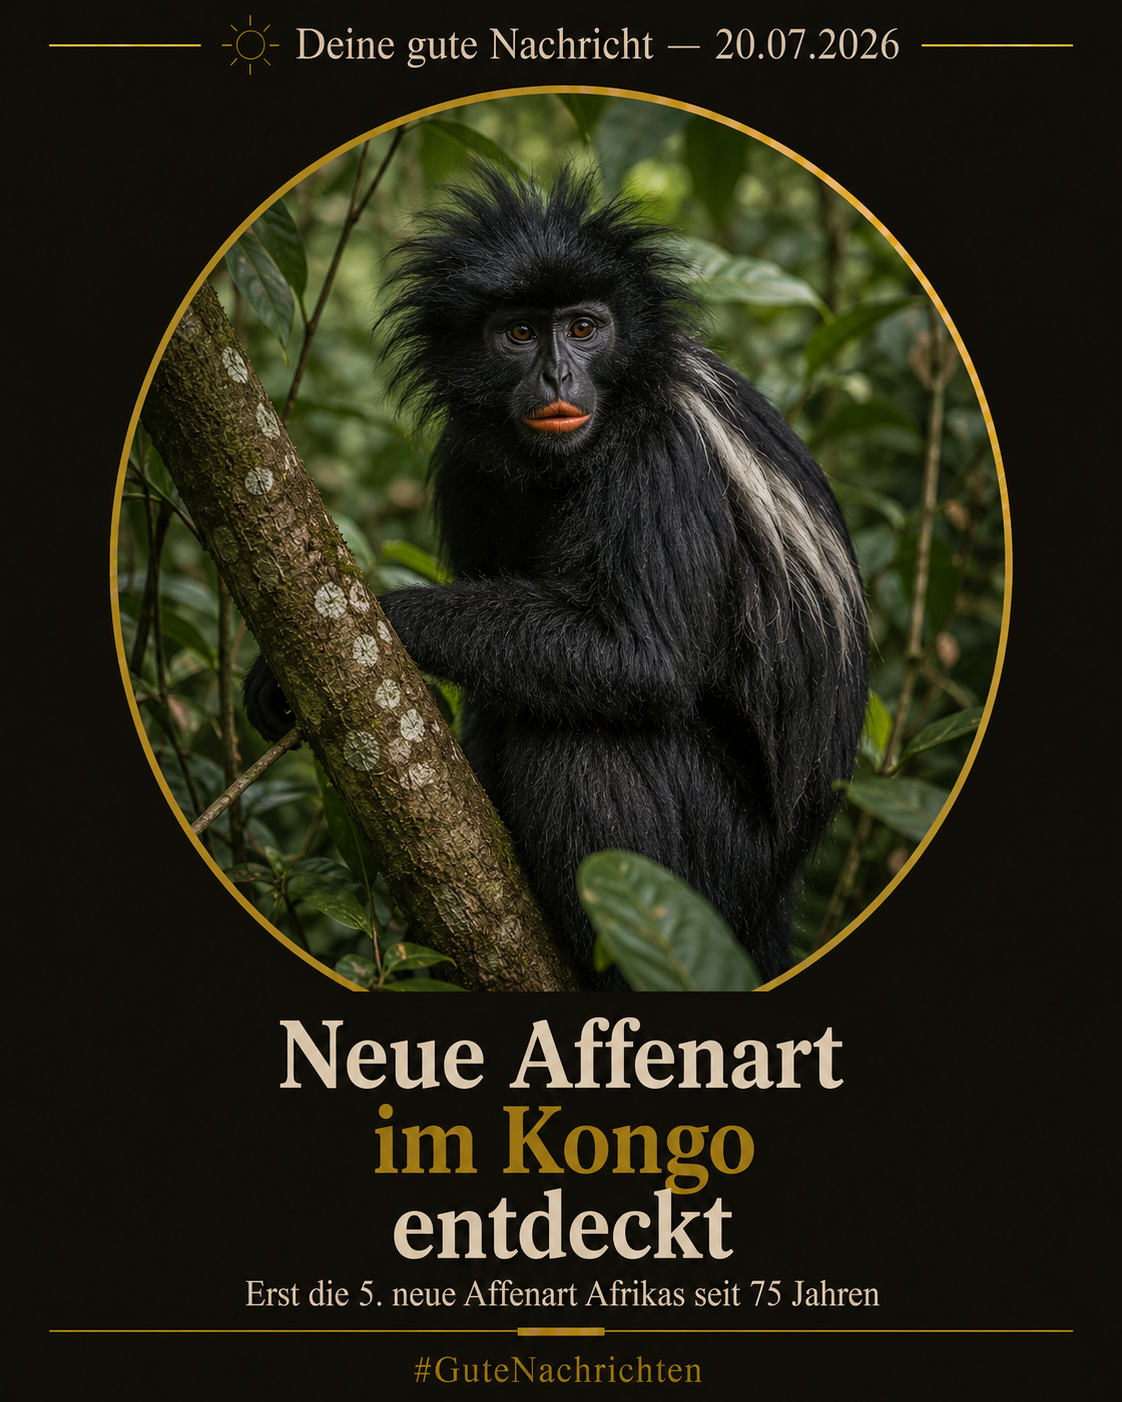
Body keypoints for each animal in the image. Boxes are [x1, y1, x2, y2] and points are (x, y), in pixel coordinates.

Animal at [245, 169, 869, 990]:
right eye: (518, 334)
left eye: (582, 329)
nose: (557, 375)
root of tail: (775, 898)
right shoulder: (468, 465)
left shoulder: (661, 456)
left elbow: (642, 657)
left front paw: (389, 617)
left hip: (718, 872)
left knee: (585, 740)